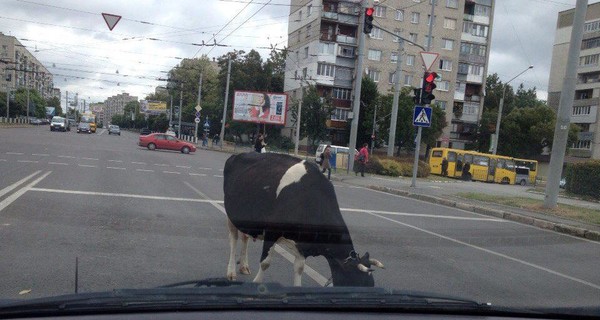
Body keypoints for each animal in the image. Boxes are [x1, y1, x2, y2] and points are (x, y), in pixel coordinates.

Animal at [223, 152, 382, 288]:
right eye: (356, 283)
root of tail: (238, 154)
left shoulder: (303, 246)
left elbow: (299, 268)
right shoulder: (271, 232)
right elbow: (265, 263)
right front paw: (256, 283)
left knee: (245, 238)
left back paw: (244, 266)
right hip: (231, 214)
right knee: (233, 240)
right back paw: (231, 272)